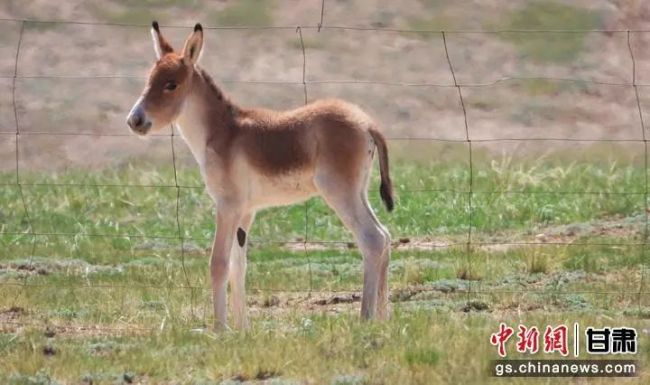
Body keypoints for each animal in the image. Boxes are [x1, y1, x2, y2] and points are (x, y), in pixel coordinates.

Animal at [124, 21, 392, 328]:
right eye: (149, 79)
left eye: (171, 84)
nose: (134, 120)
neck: (222, 132)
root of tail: (367, 123)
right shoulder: (245, 211)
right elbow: (238, 267)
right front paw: (243, 329)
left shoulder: (227, 206)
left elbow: (218, 263)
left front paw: (220, 329)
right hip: (358, 192)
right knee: (385, 237)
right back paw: (384, 318)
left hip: (339, 192)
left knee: (371, 239)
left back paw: (365, 319)